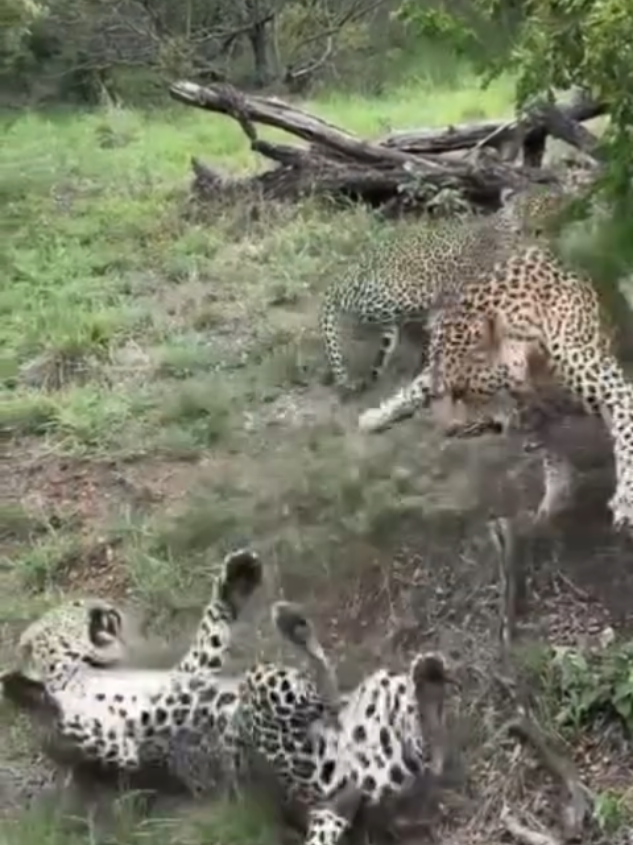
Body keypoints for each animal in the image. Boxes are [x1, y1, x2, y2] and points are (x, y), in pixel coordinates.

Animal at [3, 552, 456, 845]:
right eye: (76, 606)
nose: (101, 604)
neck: (83, 670)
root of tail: (329, 803)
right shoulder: (118, 742)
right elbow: (61, 721)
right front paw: (24, 690)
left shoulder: (189, 671)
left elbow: (211, 629)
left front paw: (237, 578)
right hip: (281, 707)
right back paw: (296, 628)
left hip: (380, 702)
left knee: (426, 749)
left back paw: (423, 676)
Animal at [358, 242, 633, 532]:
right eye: (445, 392)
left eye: (463, 391)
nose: (447, 430)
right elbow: (551, 452)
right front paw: (555, 497)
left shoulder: (615, 392)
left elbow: (626, 438)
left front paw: (625, 501)